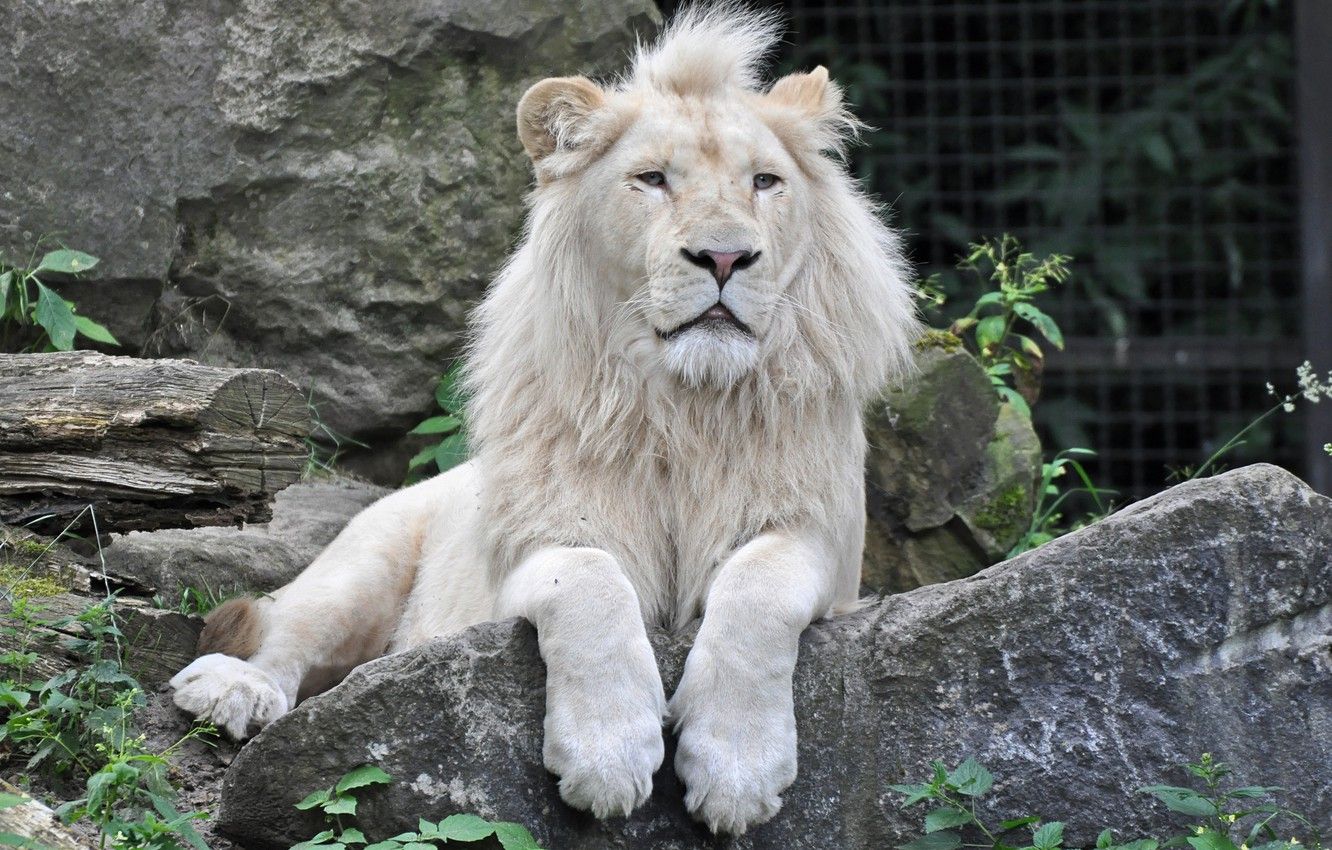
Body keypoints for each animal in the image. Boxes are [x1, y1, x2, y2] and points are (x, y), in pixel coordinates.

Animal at [170, 4, 920, 835]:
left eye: (765, 182)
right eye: (652, 179)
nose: (724, 258)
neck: (684, 403)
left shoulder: (825, 542)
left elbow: (757, 589)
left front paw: (735, 769)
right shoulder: (535, 540)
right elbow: (589, 583)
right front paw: (608, 759)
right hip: (364, 561)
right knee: (285, 636)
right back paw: (235, 691)